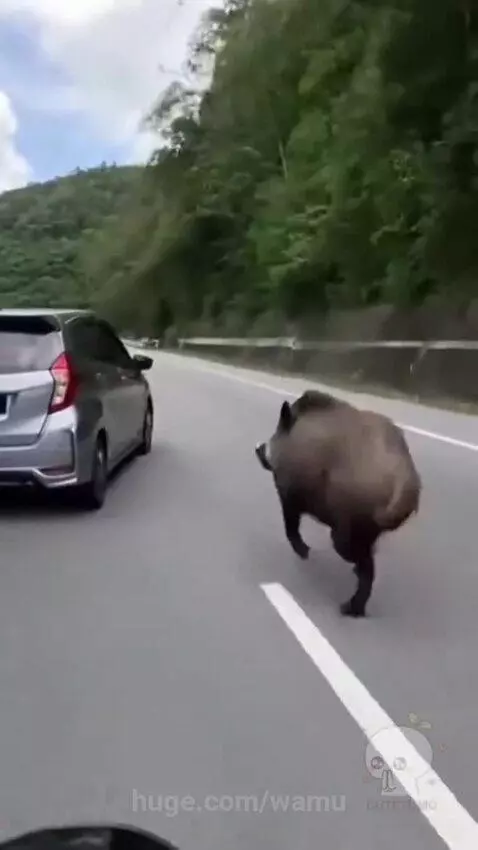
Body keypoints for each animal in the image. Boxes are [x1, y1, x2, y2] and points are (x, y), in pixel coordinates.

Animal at [255, 389, 421, 617]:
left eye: (279, 428)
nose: (258, 448)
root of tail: (404, 479)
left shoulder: (287, 493)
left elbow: (290, 526)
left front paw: (306, 552)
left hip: (346, 528)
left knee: (366, 567)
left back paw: (349, 608)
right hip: (366, 529)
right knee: (367, 561)